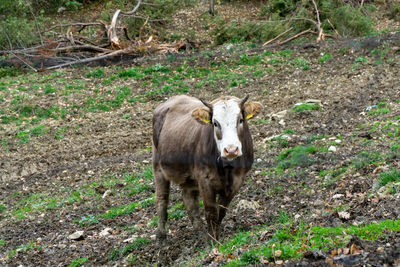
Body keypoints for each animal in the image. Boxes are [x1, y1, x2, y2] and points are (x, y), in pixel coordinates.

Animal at [152, 94, 260, 243]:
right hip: (158, 167)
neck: (227, 168)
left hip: (189, 177)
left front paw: (216, 236)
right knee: (161, 200)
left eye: (241, 120)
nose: (231, 150)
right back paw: (161, 237)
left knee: (190, 201)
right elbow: (211, 211)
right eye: (215, 123)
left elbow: (221, 211)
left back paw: (200, 232)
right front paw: (212, 241)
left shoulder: (238, 180)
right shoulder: (204, 179)